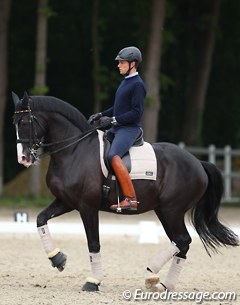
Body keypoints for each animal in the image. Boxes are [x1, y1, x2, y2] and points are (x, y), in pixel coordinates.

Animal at [12, 91, 238, 290]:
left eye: (24, 123)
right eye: (14, 123)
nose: (23, 158)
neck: (74, 150)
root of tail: (198, 163)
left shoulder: (87, 206)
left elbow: (93, 243)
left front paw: (93, 282)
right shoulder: (66, 201)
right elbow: (40, 219)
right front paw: (58, 259)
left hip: (173, 210)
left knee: (183, 239)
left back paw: (152, 272)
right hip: (164, 211)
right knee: (182, 243)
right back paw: (162, 285)